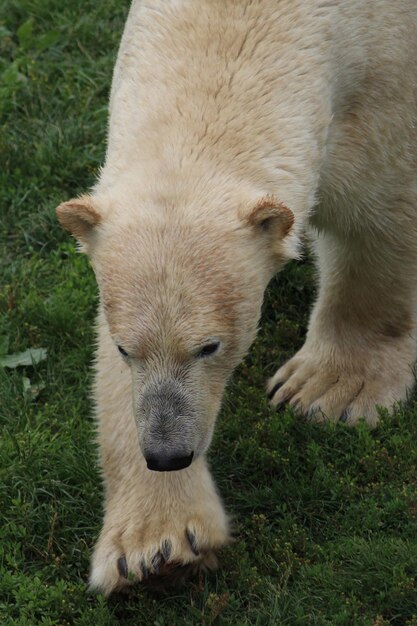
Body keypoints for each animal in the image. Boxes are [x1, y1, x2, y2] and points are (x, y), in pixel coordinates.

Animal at [57, 0, 416, 596]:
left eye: (210, 346)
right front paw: (156, 548)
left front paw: (328, 389)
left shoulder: (383, 92)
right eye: (128, 349)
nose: (167, 453)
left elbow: (382, 221)